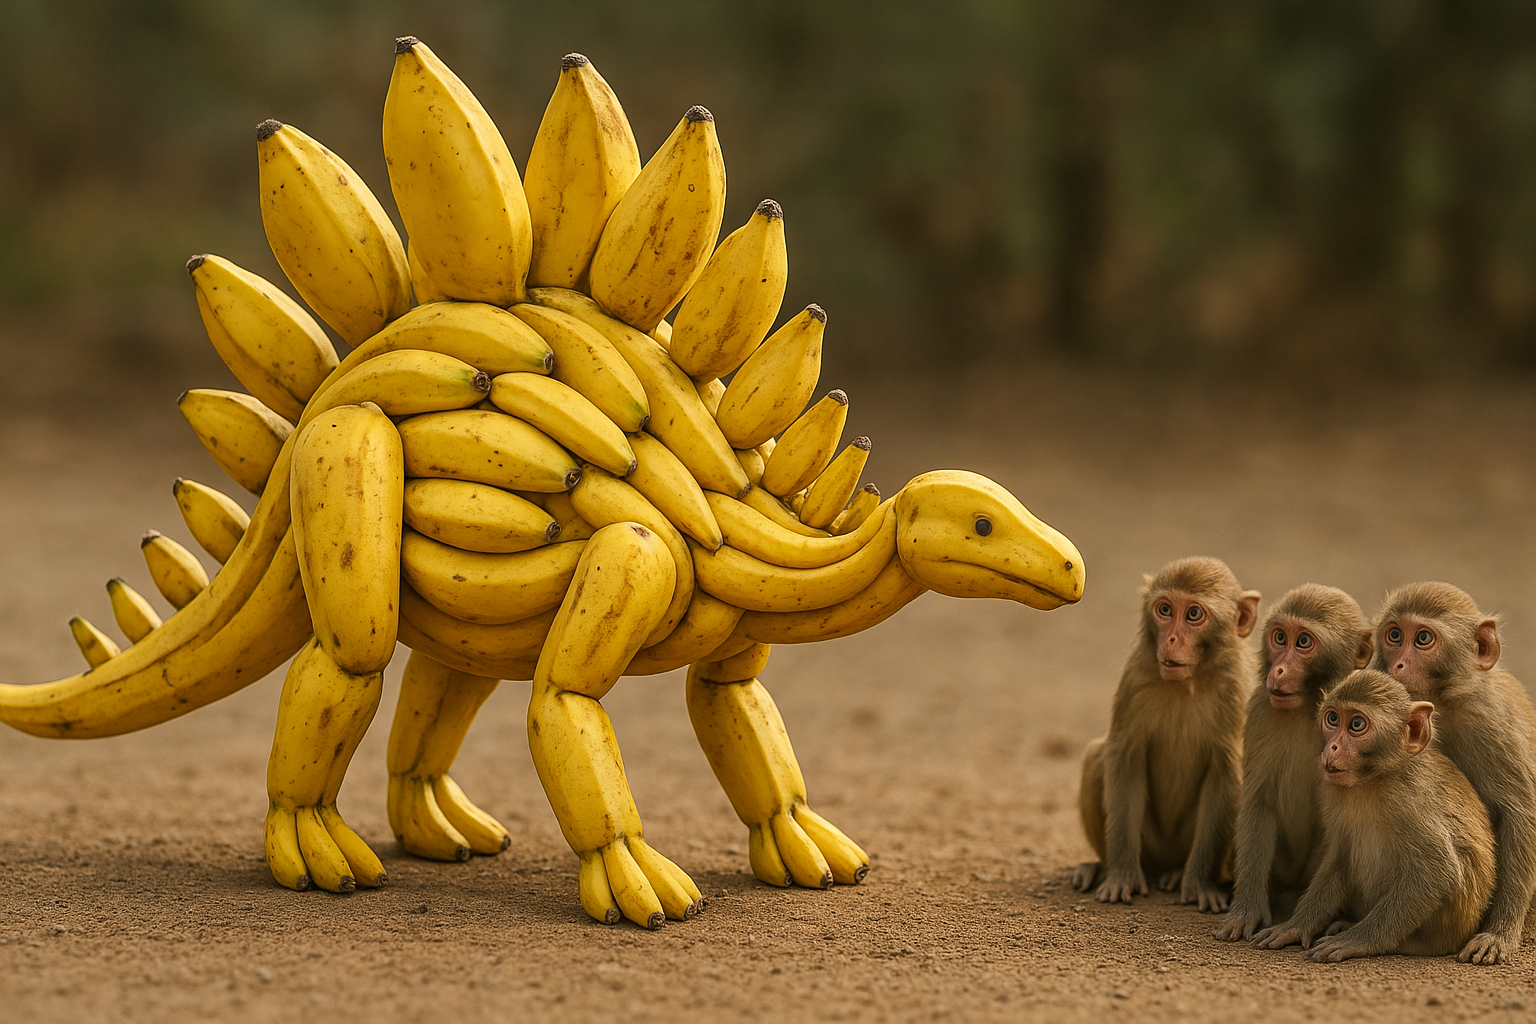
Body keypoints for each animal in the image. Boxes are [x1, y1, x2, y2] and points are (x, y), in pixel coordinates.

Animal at [1073, 556, 1259, 912]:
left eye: (1194, 614)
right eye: (1164, 609)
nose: (1171, 640)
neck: (1189, 681)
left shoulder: (1236, 687)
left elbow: (1226, 772)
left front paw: (1199, 883)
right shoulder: (1136, 674)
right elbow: (1124, 758)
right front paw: (1122, 875)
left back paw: (1177, 875)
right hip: (1152, 845)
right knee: (1095, 757)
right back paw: (1101, 867)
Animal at [1213, 584, 1373, 941]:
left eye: (1303, 642)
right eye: (1279, 638)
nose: (1279, 670)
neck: (1309, 707)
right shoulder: (1261, 708)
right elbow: (1258, 803)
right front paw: (1246, 911)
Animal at [1252, 670, 1496, 961]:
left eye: (1357, 724)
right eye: (1332, 719)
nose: (1332, 747)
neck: (1373, 780)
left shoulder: (1411, 801)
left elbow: (1439, 872)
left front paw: (1357, 940)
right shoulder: (1335, 794)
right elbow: (1341, 856)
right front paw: (1296, 926)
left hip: (1437, 938)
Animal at [1369, 582, 1536, 964]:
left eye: (1423, 639)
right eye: (1394, 635)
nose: (1398, 664)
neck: (1444, 704)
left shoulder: (1492, 722)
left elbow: (1520, 814)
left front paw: (1500, 932)